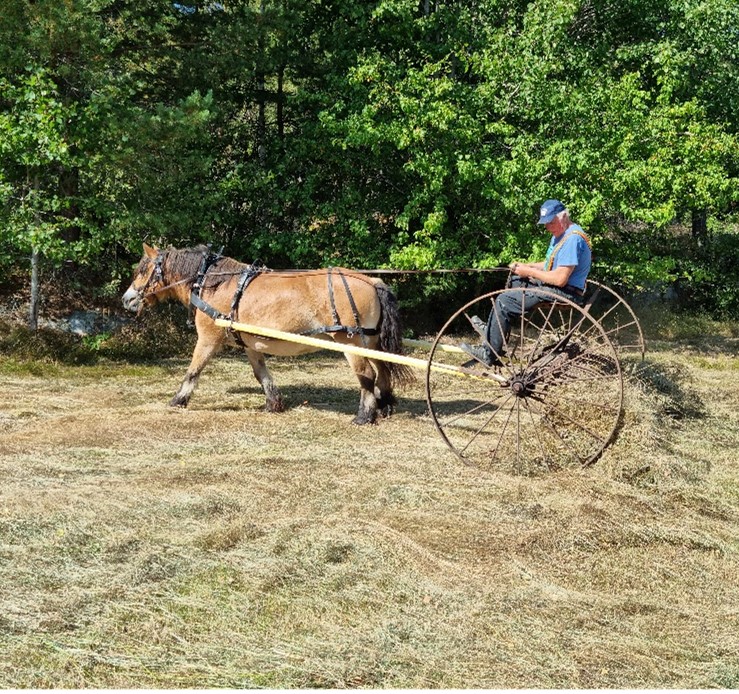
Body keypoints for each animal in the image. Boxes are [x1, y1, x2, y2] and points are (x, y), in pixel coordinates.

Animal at [119, 243, 414, 424]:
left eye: (143, 270)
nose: (127, 299)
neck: (216, 283)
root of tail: (372, 281)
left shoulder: (209, 338)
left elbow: (193, 370)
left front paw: (178, 400)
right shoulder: (250, 344)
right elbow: (261, 374)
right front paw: (273, 402)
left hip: (351, 341)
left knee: (367, 375)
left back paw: (364, 415)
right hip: (370, 340)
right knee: (383, 371)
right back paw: (385, 406)